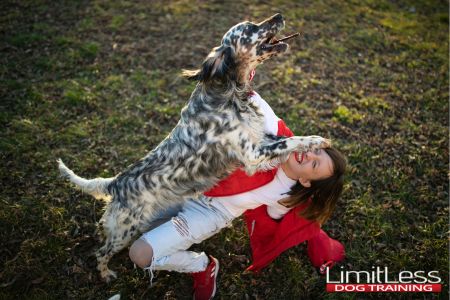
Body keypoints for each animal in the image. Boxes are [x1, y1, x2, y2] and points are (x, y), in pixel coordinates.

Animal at [57, 14, 330, 282]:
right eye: (251, 28)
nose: (280, 15)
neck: (229, 93)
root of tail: (115, 183)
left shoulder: (260, 140)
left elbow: (283, 138)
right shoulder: (252, 154)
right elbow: (291, 141)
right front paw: (317, 140)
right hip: (125, 229)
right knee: (101, 252)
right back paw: (105, 274)